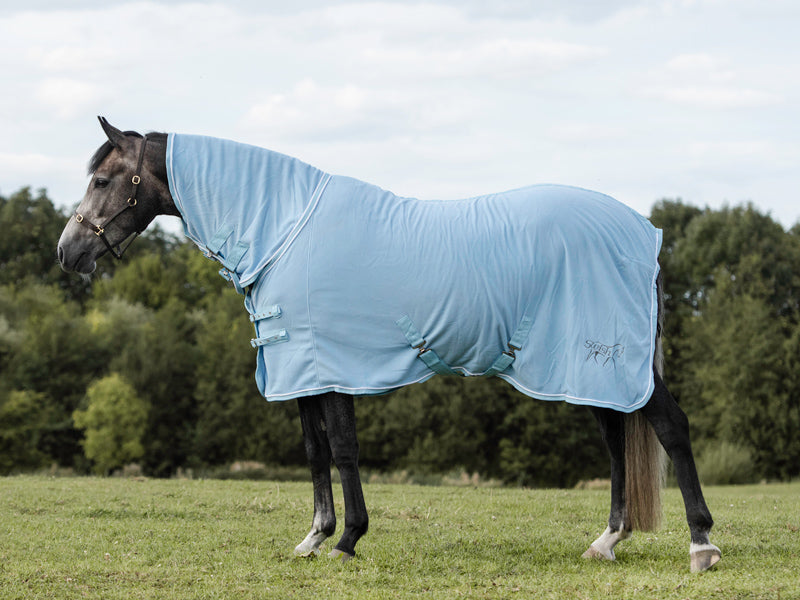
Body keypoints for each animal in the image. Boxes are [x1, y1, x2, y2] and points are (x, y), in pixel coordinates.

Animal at [56, 117, 720, 572]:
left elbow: (345, 451)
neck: (286, 229)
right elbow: (315, 452)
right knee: (617, 441)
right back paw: (607, 540)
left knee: (671, 427)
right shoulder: (304, 370)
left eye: (102, 179)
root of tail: (644, 232)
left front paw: (348, 540)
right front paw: (314, 537)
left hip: (609, 362)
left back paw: (702, 544)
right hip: (592, 368)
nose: (68, 253)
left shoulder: (333, 368)